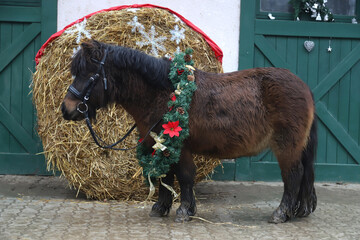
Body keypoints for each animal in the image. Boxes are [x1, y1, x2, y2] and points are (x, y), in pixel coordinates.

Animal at [62, 39, 318, 223]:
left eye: (89, 74)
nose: (67, 109)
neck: (163, 93)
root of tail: (304, 87)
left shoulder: (179, 145)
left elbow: (184, 176)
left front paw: (185, 210)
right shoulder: (161, 144)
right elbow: (165, 175)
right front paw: (161, 207)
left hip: (287, 146)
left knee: (293, 175)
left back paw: (281, 213)